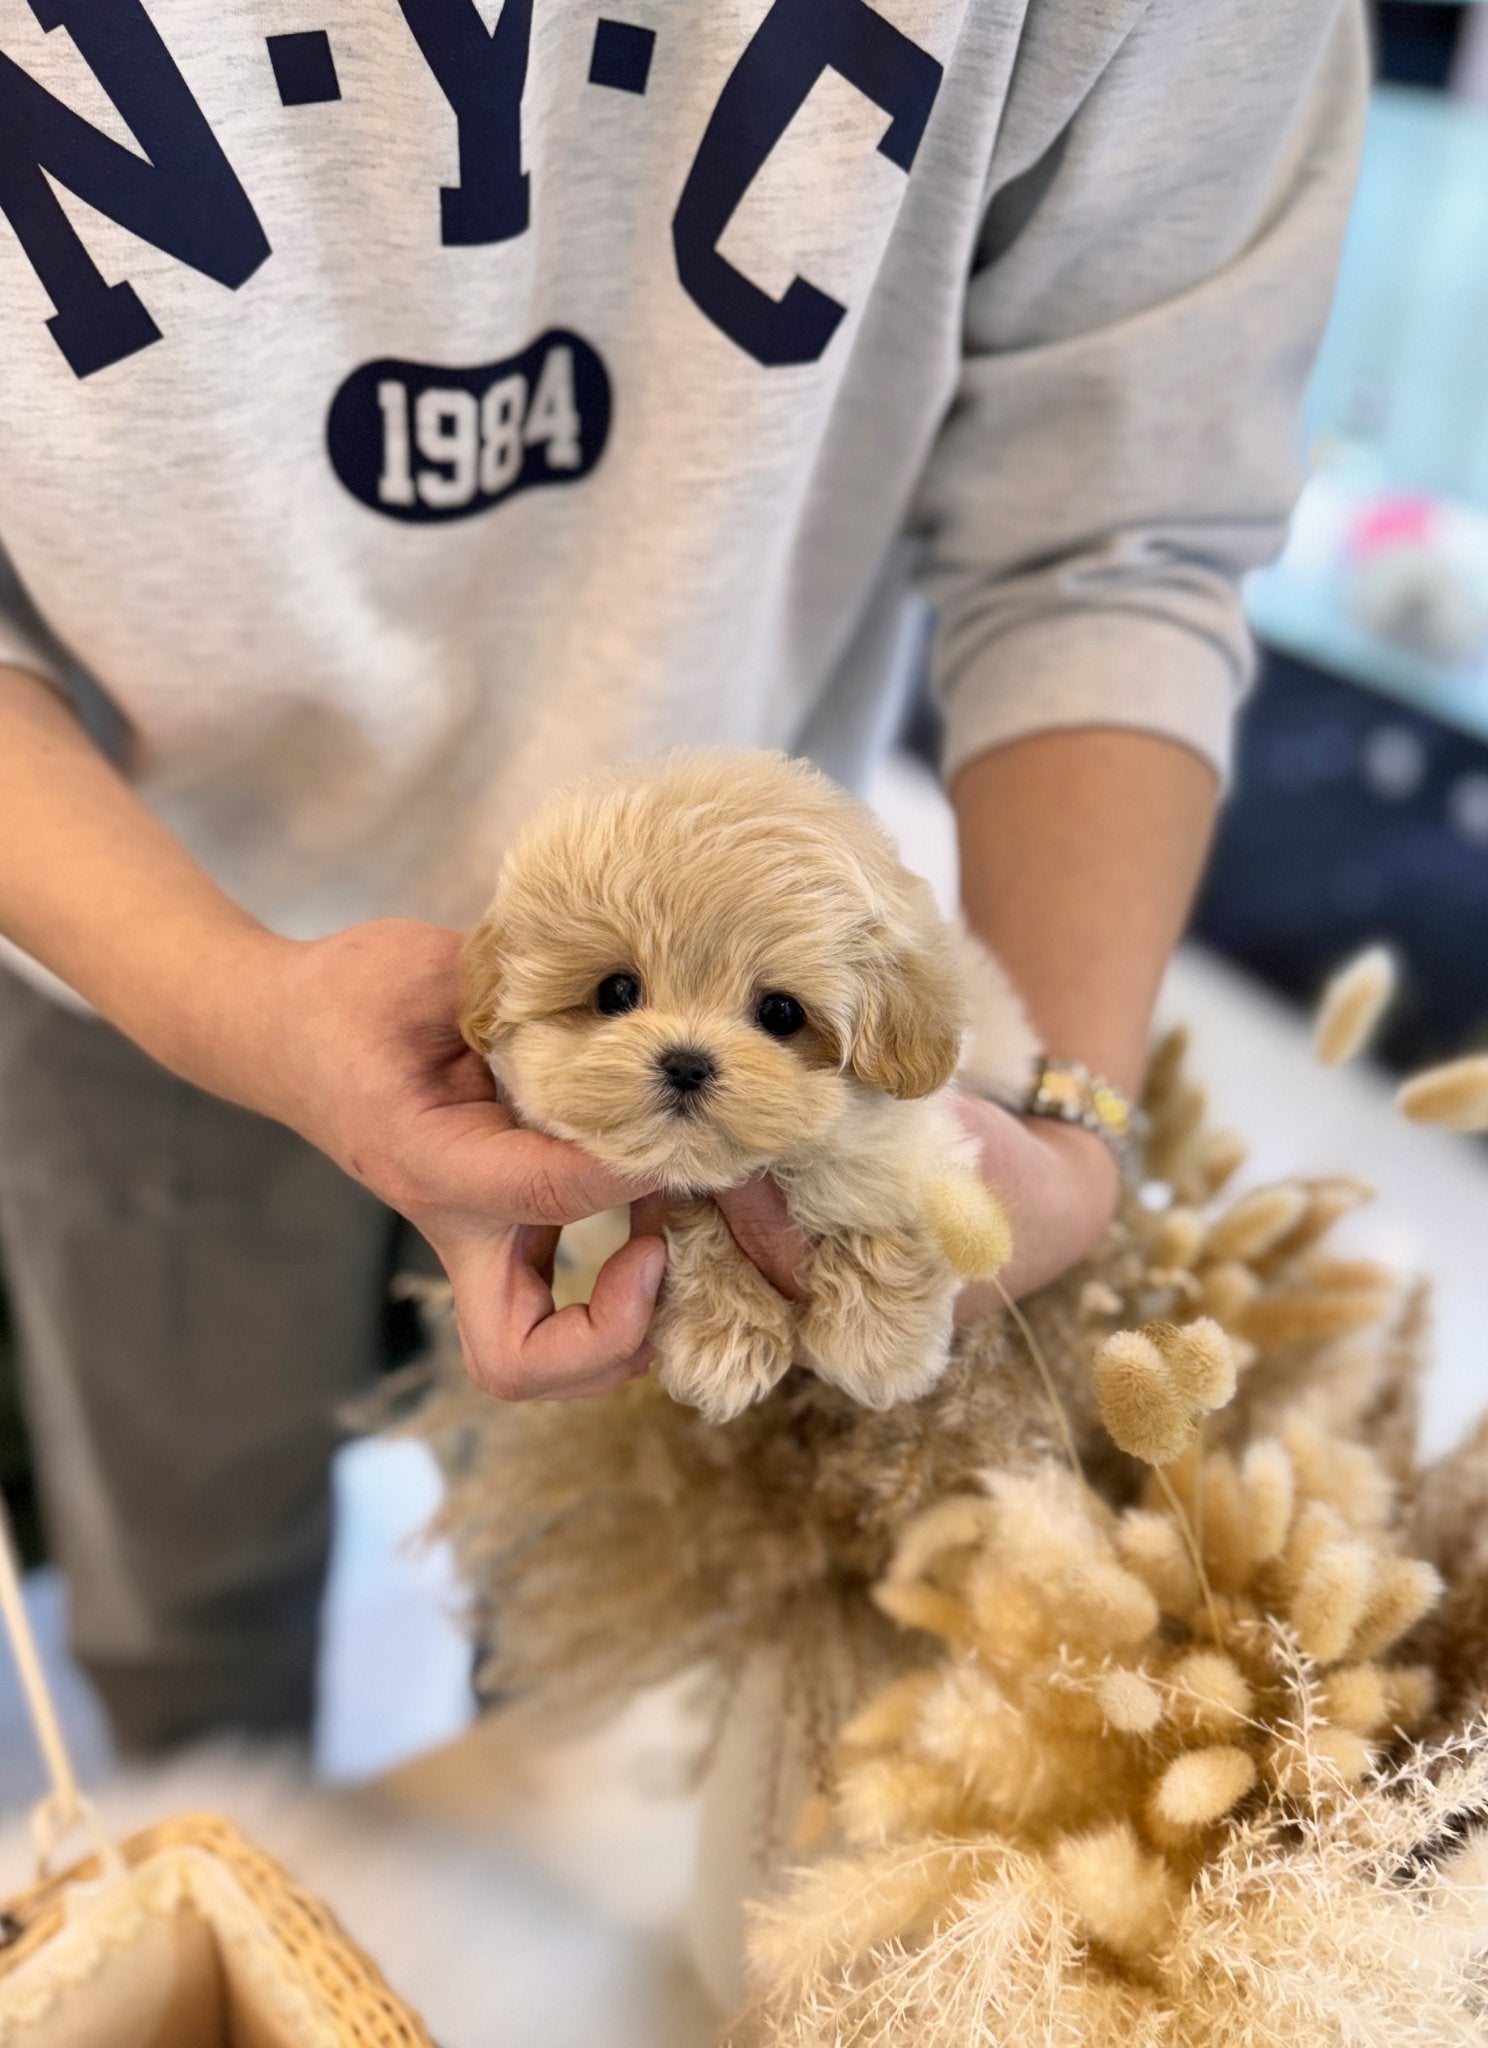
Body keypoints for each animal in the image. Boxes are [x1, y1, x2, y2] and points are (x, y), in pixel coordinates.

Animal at [460, 753, 1043, 1425]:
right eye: (616, 991)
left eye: (781, 1013)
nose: (687, 1064)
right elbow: (697, 1226)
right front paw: (721, 1340)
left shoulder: (920, 1143)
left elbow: (888, 1207)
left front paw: (877, 1343)